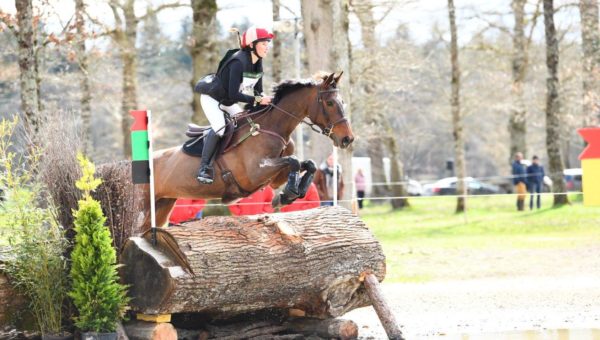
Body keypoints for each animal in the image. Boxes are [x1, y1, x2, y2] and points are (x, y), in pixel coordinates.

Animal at [141, 72, 354, 231]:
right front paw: (288, 194)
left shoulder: (274, 177)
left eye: (343, 101)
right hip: (146, 204)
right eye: (330, 103)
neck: (272, 128)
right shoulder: (254, 174)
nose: (348, 139)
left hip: (164, 203)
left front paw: (290, 194)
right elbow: (293, 160)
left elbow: (307, 163)